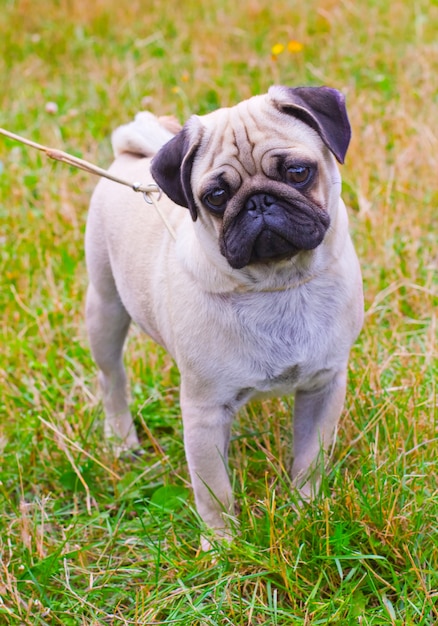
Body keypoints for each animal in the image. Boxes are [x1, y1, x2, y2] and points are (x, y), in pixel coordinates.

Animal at [84, 85, 362, 544]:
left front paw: (306, 513)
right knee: (112, 378)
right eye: (215, 197)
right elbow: (214, 491)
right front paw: (221, 545)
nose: (259, 202)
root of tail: (130, 155)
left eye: (298, 172)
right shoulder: (205, 413)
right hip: (105, 308)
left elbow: (311, 460)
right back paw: (122, 441)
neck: (275, 284)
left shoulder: (323, 387)